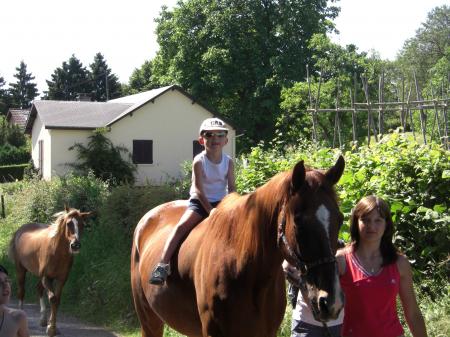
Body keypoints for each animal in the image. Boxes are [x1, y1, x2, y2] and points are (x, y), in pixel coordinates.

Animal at [9, 206, 91, 334]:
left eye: (82, 224)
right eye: (68, 223)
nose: (75, 245)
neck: (57, 252)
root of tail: (20, 230)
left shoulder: (61, 279)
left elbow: (57, 300)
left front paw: (53, 326)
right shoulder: (46, 277)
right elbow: (52, 299)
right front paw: (51, 328)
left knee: (38, 289)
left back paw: (43, 319)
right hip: (20, 269)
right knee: (21, 291)